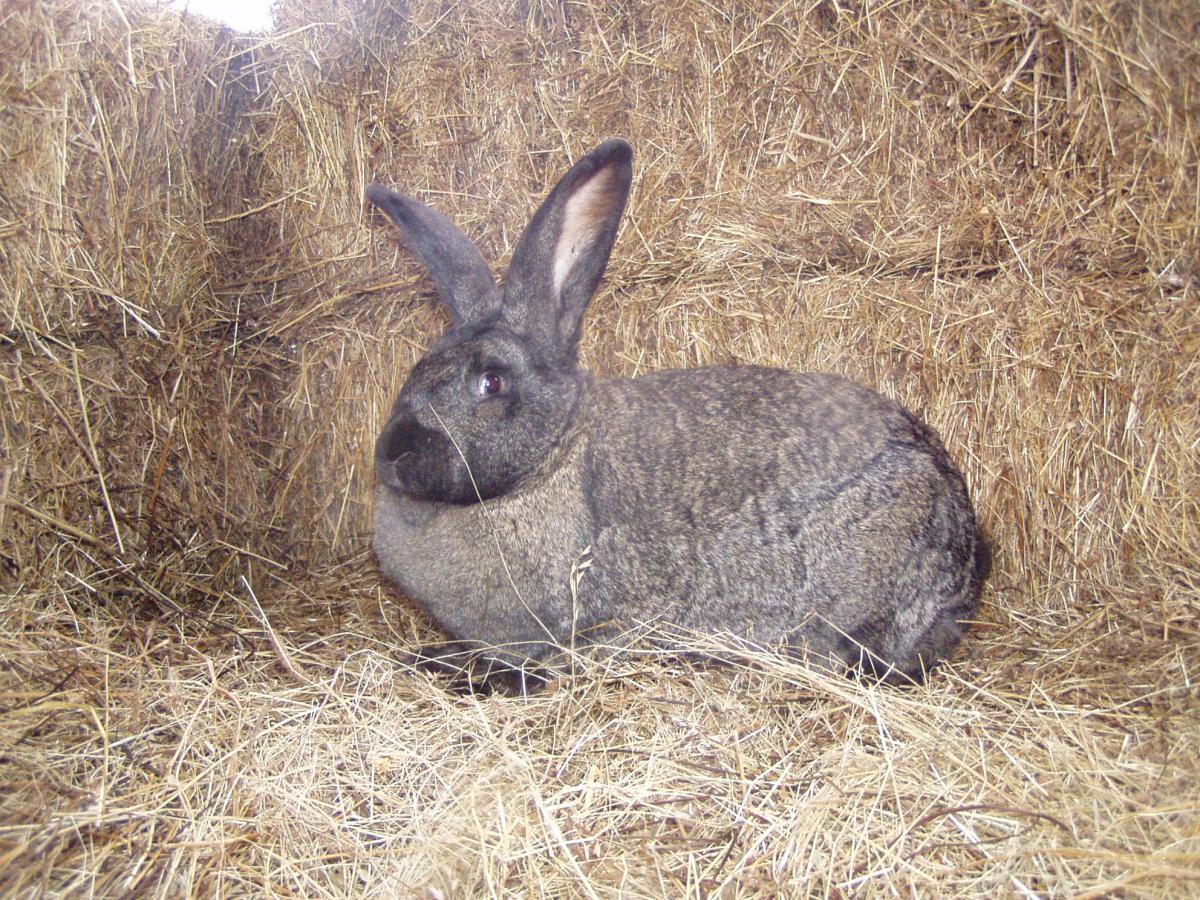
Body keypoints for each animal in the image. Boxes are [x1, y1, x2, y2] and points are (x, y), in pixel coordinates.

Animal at [364, 137, 984, 696]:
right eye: (417, 368)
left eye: (490, 381)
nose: (392, 450)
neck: (553, 459)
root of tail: (968, 562)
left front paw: (467, 677)